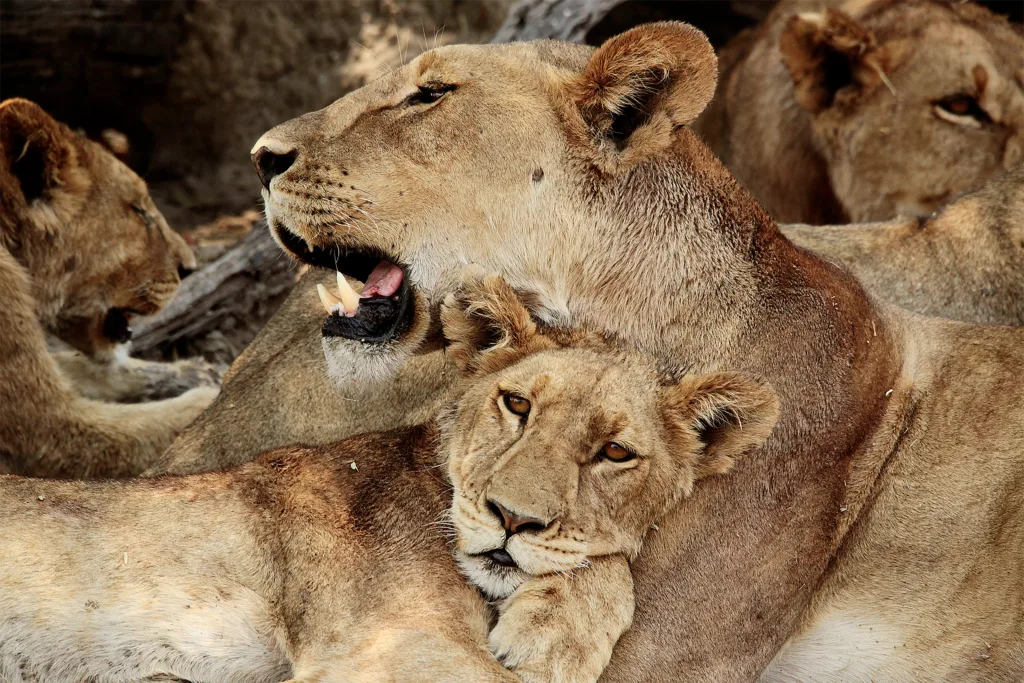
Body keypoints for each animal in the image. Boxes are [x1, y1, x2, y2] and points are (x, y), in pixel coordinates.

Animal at [0, 98, 219, 478]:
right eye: (138, 211)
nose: (190, 268)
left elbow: (84, 367)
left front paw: (192, 372)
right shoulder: (46, 432)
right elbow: (160, 425)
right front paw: (215, 398)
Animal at [0, 278, 772, 683]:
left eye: (614, 452)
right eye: (516, 404)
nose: (512, 518)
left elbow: (604, 559)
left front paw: (554, 635)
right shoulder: (387, 648)